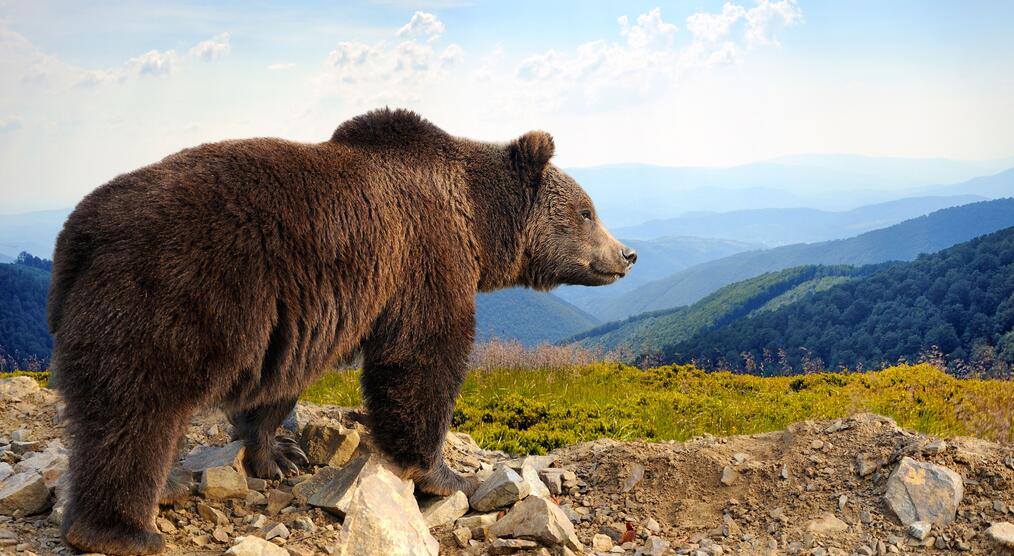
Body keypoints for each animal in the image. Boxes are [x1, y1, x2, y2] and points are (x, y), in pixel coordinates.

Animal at [49, 106, 632, 551]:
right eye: (587, 211)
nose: (626, 254)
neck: (478, 223)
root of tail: (81, 231)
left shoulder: (301, 317)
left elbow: (279, 385)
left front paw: (279, 455)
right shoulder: (424, 259)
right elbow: (423, 359)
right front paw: (446, 475)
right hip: (173, 292)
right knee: (137, 409)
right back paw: (122, 529)